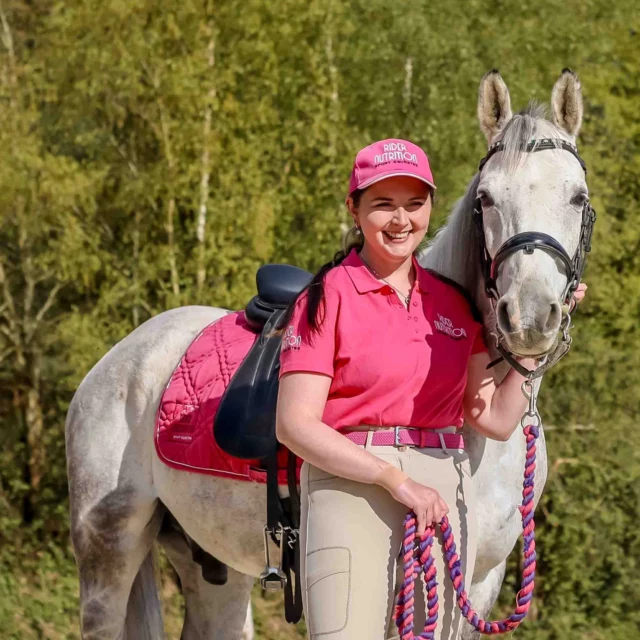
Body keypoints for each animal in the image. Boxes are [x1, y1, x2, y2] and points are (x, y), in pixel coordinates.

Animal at [65, 69, 590, 639]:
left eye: (577, 197)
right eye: (488, 198)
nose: (531, 316)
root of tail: (118, 362)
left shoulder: (479, 584)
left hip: (212, 566)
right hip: (108, 552)